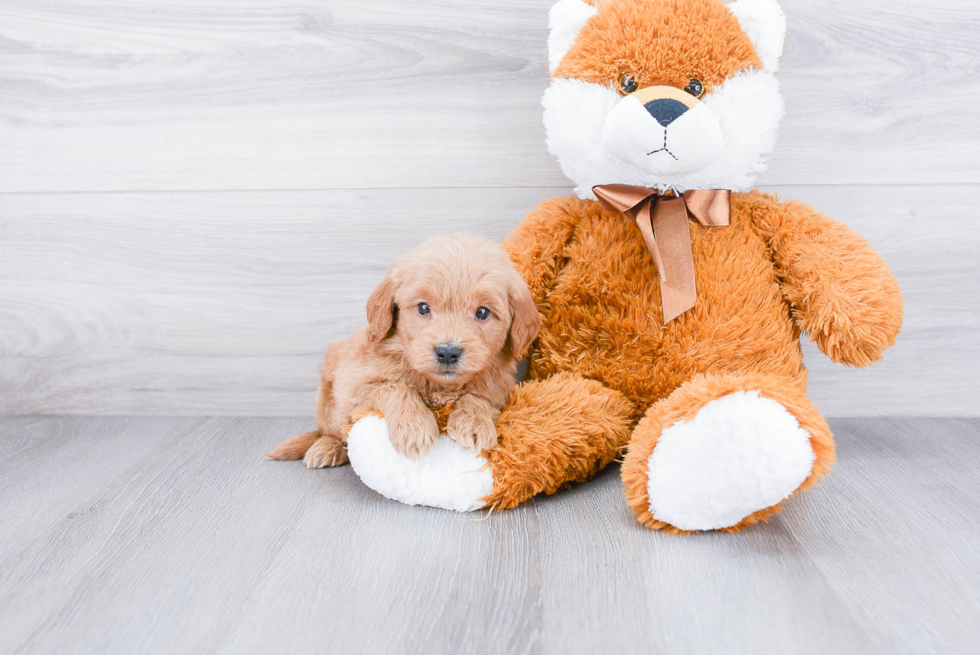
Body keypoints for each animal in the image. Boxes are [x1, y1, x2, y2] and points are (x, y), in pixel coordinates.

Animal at [268, 233, 540, 468]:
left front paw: (474, 423)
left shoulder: (498, 390)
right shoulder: (354, 387)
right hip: (328, 399)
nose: (447, 352)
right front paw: (416, 428)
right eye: (423, 308)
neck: (438, 386)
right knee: (329, 431)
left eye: (483, 312)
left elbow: (477, 396)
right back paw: (326, 448)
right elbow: (394, 387)